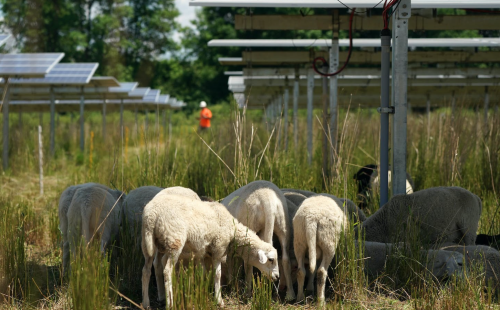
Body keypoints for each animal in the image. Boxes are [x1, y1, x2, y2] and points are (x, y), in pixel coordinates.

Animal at [143, 194, 280, 308]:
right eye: (271, 260)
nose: (277, 277)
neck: (233, 231)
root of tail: (152, 215)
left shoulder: (203, 253)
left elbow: (202, 272)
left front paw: (201, 292)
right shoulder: (218, 249)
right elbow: (217, 274)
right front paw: (219, 300)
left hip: (150, 244)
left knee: (147, 270)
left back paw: (147, 303)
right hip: (174, 240)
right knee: (166, 270)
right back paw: (170, 303)